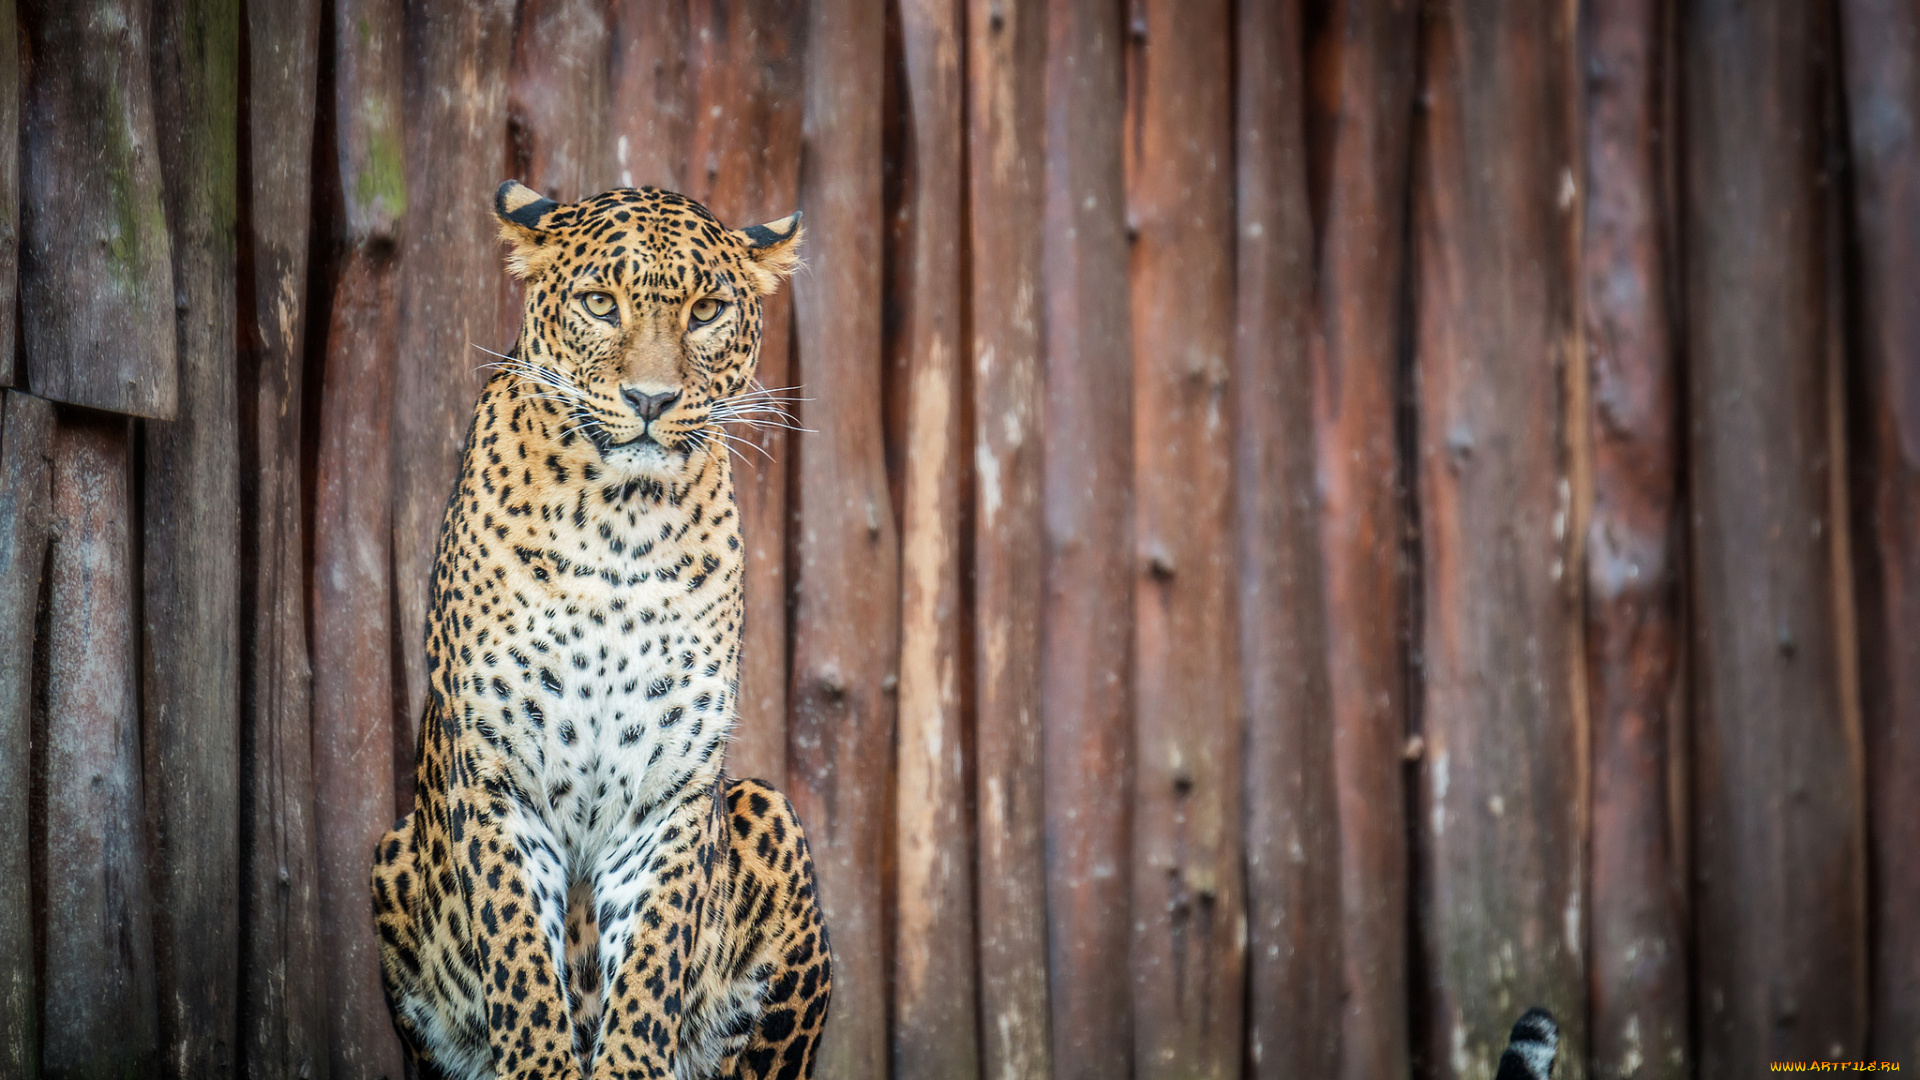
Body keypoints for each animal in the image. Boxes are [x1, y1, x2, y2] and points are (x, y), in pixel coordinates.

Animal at [370, 180, 829, 1068]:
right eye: (598, 304)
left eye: (707, 311)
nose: (650, 400)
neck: (622, 525)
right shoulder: (494, 770)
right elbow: (518, 951)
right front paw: (544, 1064)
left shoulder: (673, 785)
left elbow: (652, 957)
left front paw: (627, 1064)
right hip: (394, 855)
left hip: (767, 812)